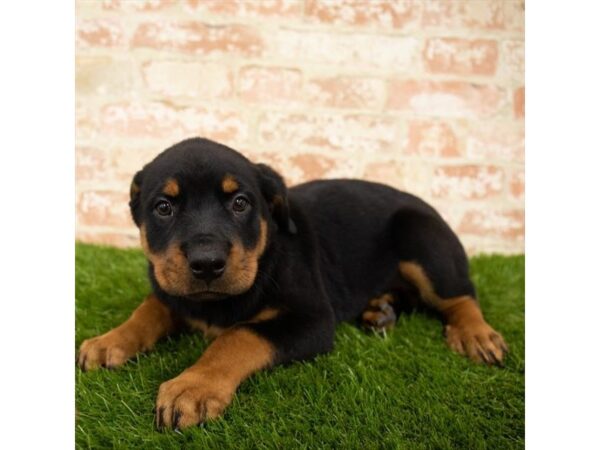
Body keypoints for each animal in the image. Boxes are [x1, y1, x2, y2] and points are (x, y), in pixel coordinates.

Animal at [76, 137, 506, 428]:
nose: (207, 263)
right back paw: (380, 310)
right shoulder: (172, 289)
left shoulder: (311, 319)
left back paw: (477, 335)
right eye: (163, 207)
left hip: (422, 237)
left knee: (460, 296)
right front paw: (108, 341)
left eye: (240, 203)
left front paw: (193, 387)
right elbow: (149, 308)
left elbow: (239, 336)